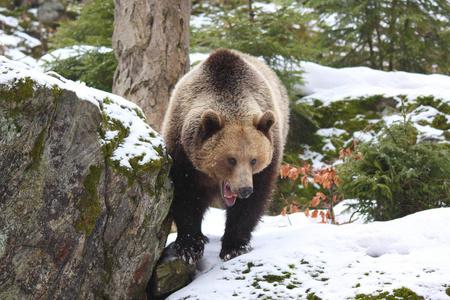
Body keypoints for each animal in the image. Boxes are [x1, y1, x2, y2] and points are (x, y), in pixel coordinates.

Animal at [162, 48, 288, 262]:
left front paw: (234, 246)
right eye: (231, 159)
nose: (244, 189)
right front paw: (189, 246)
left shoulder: (269, 158)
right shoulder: (182, 153)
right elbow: (185, 196)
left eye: (254, 160)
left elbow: (251, 205)